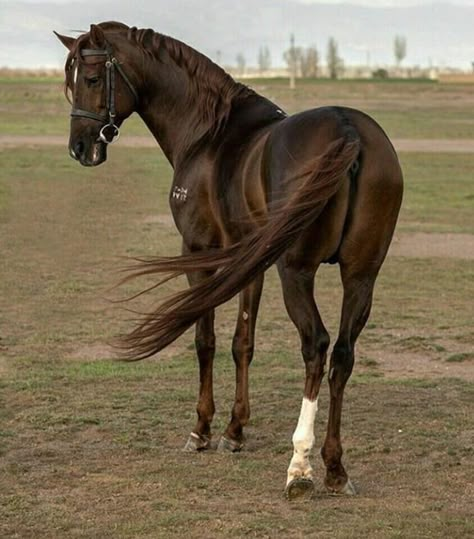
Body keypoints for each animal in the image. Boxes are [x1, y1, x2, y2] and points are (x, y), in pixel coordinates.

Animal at [55, 22, 404, 502]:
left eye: (90, 79)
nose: (79, 146)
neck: (209, 133)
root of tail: (348, 130)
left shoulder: (197, 253)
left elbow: (205, 340)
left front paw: (202, 429)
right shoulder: (251, 261)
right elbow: (244, 343)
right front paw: (235, 431)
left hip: (297, 272)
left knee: (316, 347)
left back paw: (300, 467)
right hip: (361, 276)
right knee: (343, 355)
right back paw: (334, 468)